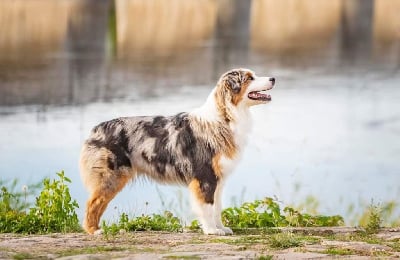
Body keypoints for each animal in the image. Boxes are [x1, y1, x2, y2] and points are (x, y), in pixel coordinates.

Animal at [81, 68, 276, 235]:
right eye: (250, 78)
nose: (273, 78)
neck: (225, 117)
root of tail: (96, 128)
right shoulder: (205, 176)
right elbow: (207, 206)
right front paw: (211, 230)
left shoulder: (218, 178)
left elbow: (217, 207)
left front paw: (221, 228)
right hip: (111, 176)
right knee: (93, 203)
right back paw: (94, 231)